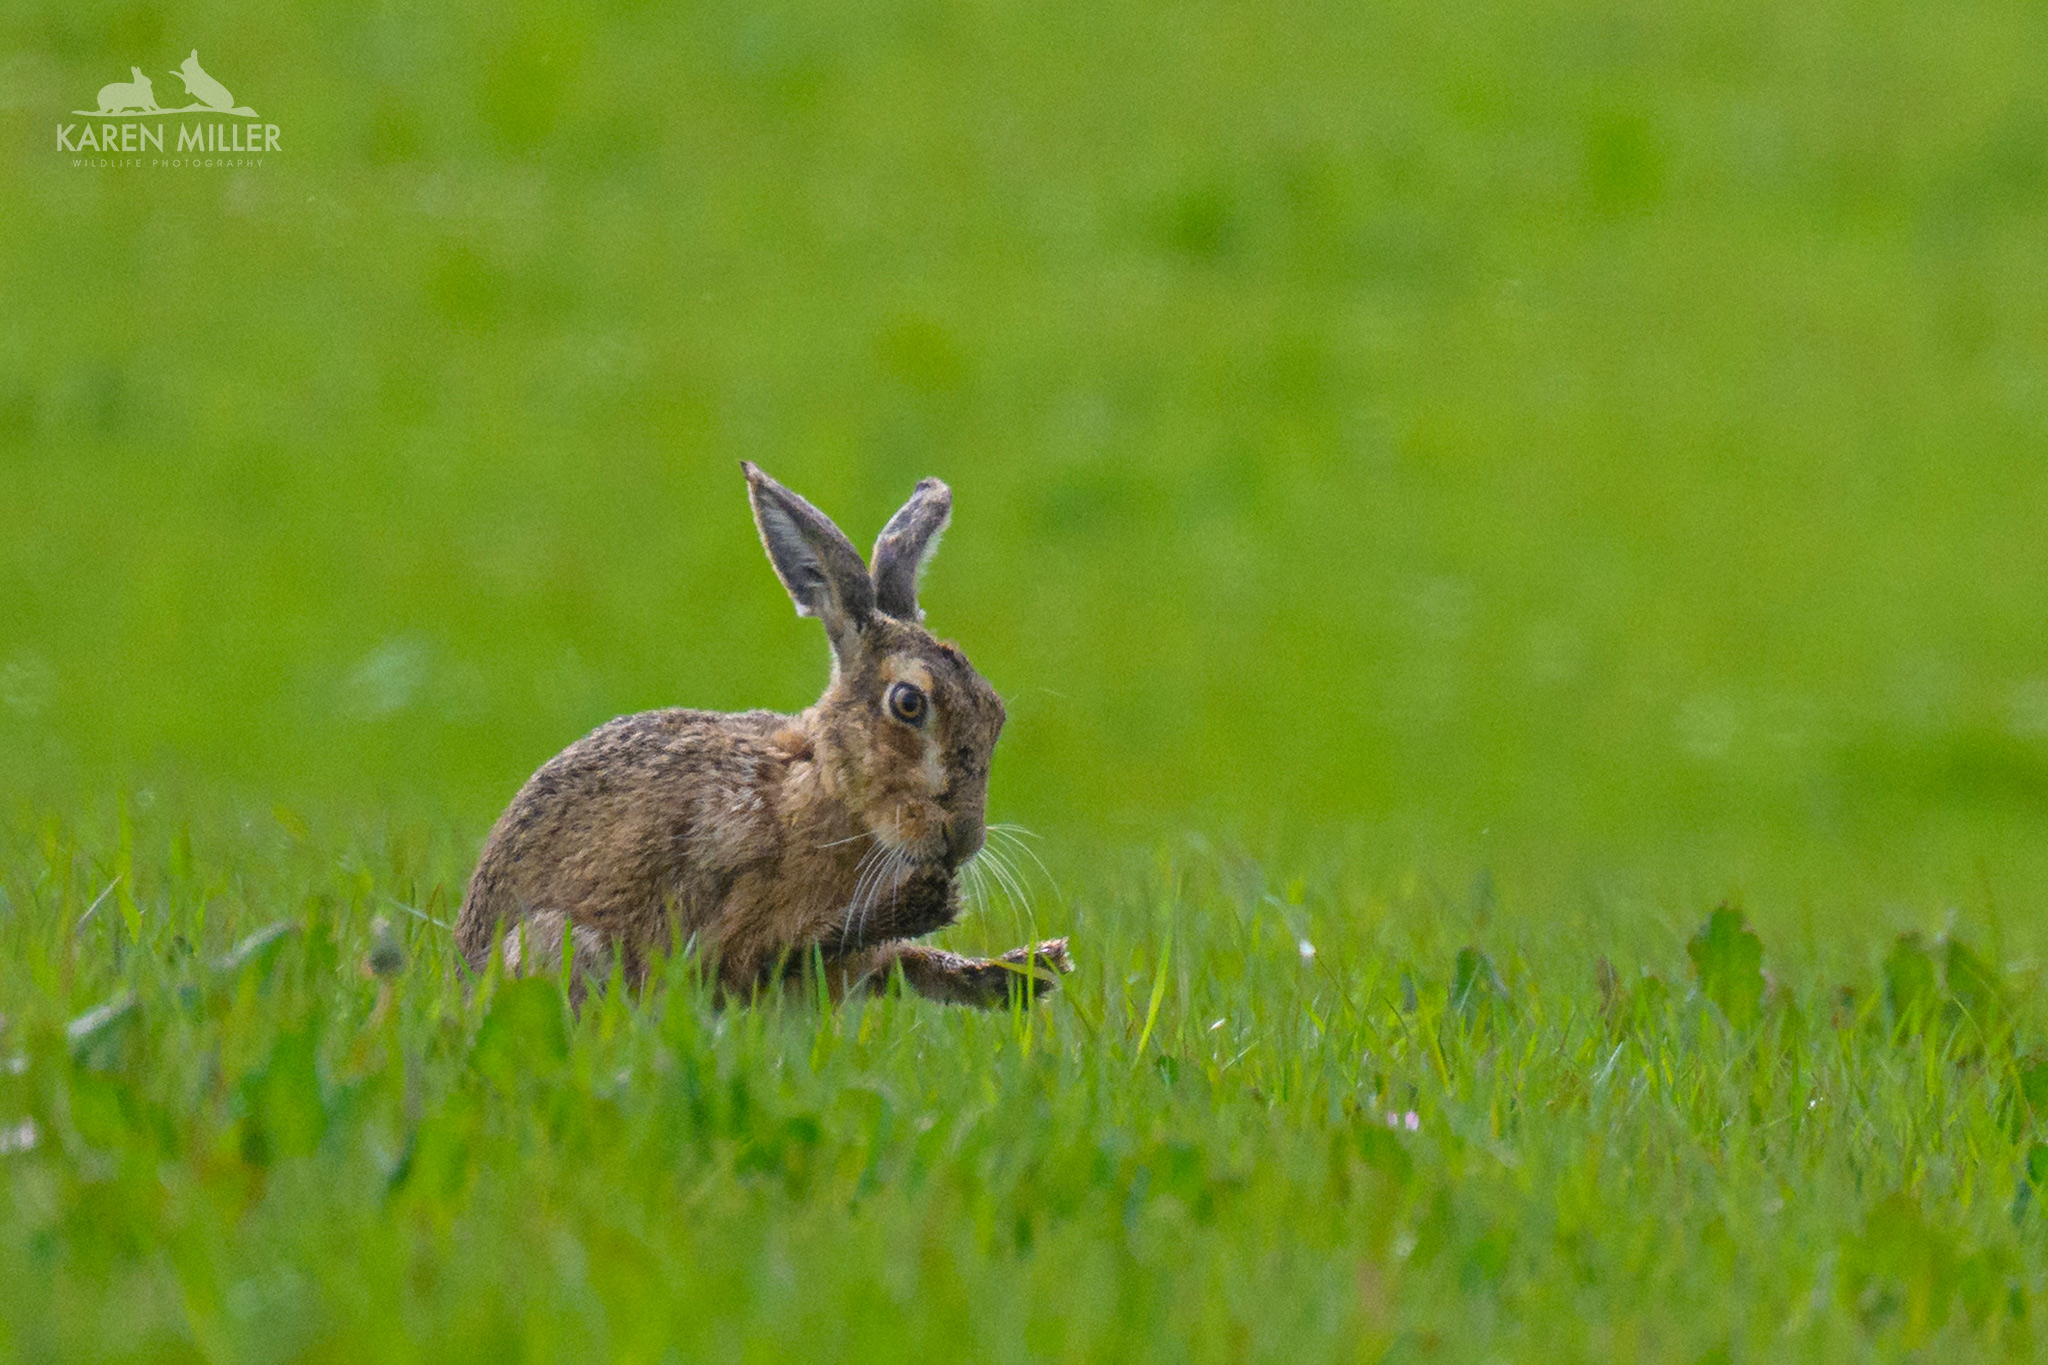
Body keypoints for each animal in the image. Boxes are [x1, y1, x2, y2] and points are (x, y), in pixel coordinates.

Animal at [456, 463, 1071, 1008]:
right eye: (908, 704)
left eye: (994, 712)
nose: (964, 839)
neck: (823, 791)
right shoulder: (729, 920)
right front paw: (928, 908)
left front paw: (1025, 970)